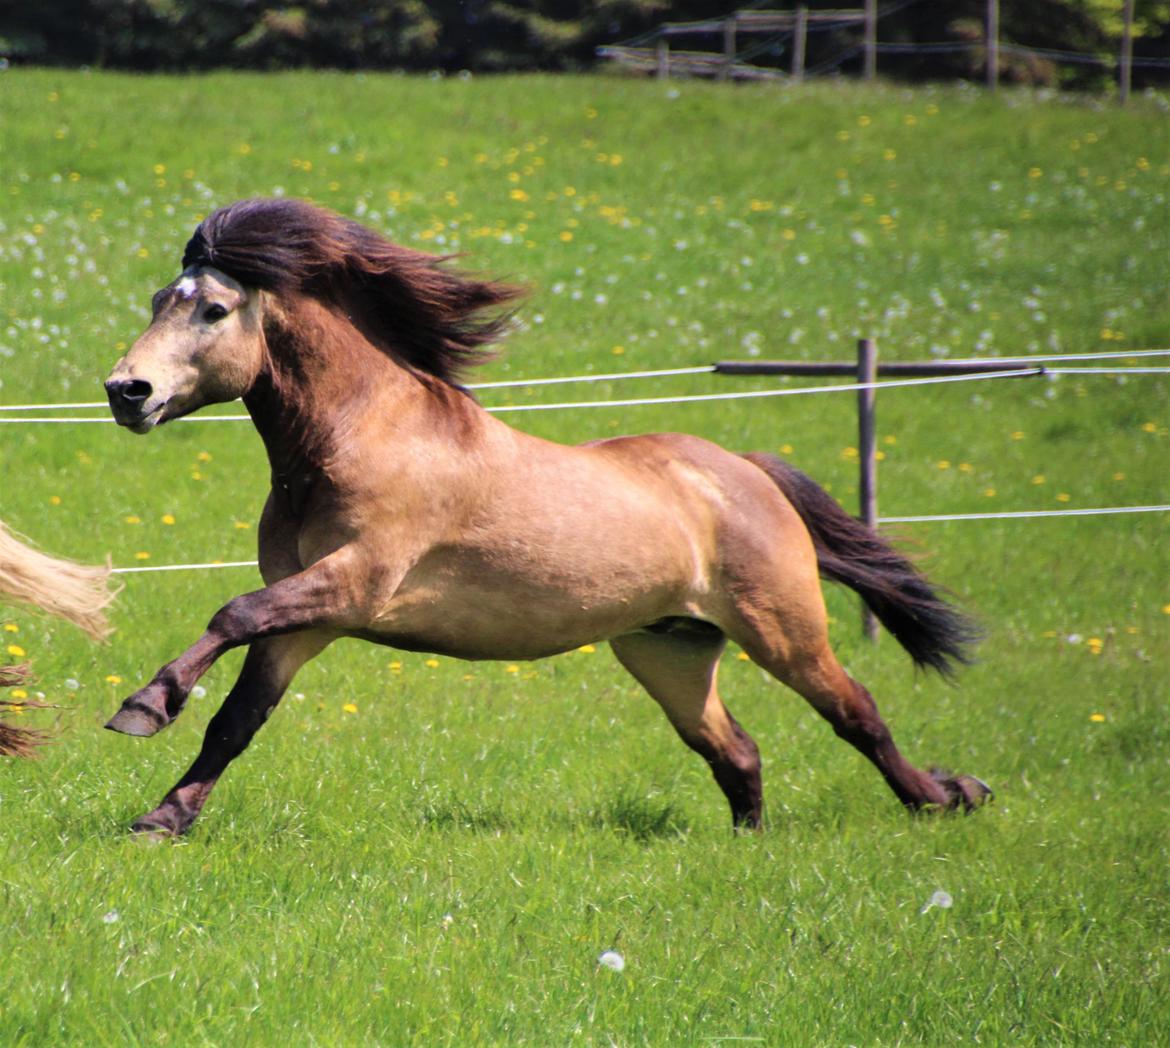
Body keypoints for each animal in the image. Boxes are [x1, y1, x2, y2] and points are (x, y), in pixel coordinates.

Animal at [105, 196, 992, 832]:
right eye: (158, 299)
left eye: (214, 311)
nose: (126, 392)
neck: (359, 436)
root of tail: (744, 471)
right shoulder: (307, 620)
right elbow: (237, 719)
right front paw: (163, 817)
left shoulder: (354, 584)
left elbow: (231, 611)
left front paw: (143, 707)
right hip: (668, 649)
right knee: (735, 750)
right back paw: (753, 839)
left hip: (782, 629)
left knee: (856, 713)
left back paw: (946, 797)